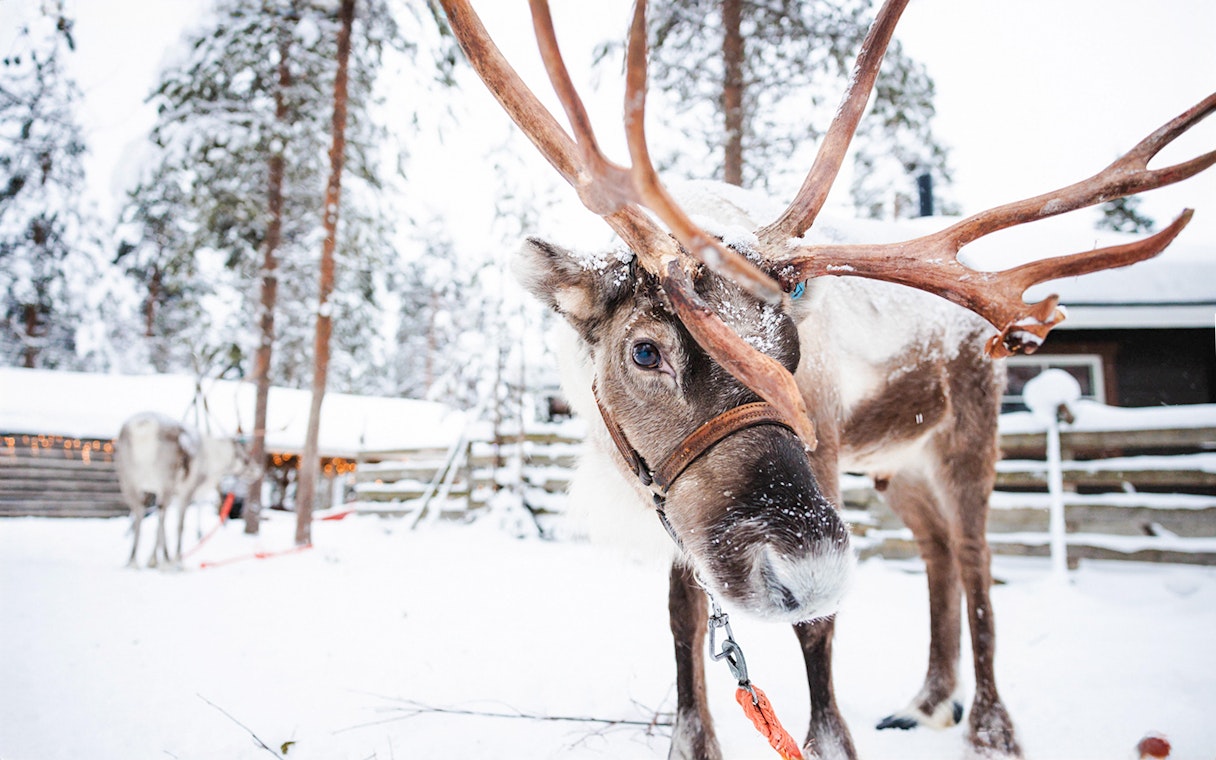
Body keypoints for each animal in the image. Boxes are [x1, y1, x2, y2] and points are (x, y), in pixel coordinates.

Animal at [115, 411, 256, 569]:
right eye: (245, 457)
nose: (258, 470)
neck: (213, 460)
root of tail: (143, 427)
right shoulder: (186, 491)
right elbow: (179, 525)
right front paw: (177, 560)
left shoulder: (167, 493)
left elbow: (158, 528)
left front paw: (153, 560)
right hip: (164, 482)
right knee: (161, 514)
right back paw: (166, 560)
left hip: (128, 481)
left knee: (139, 511)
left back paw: (133, 561)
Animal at [437, 1, 1215, 758]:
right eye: (646, 352)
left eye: (791, 349)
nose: (808, 572)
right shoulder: (674, 498)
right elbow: (684, 617)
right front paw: (695, 741)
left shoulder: (827, 451)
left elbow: (818, 629)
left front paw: (830, 737)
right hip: (897, 464)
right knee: (935, 550)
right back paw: (928, 701)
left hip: (967, 434)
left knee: (974, 557)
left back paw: (991, 727)